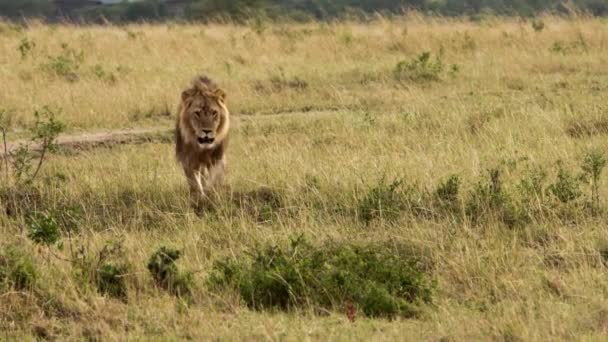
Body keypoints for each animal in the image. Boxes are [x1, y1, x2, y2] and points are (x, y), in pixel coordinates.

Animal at [177, 76, 232, 204]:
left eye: (214, 112)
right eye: (197, 113)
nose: (207, 131)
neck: (202, 149)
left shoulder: (217, 158)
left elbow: (213, 180)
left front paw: (210, 195)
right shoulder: (188, 159)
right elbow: (194, 182)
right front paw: (199, 198)